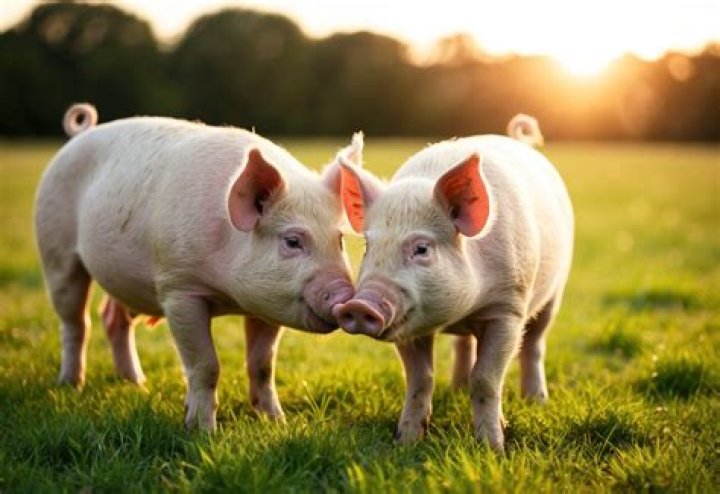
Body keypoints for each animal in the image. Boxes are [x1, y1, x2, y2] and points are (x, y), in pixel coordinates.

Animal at [35, 103, 359, 430]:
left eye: (340, 239)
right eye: (292, 241)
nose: (345, 294)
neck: (230, 296)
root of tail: (82, 134)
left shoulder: (266, 305)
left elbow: (262, 364)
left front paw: (276, 422)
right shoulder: (179, 289)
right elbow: (205, 364)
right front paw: (202, 430)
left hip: (120, 275)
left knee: (113, 318)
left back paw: (137, 384)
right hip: (56, 249)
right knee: (76, 322)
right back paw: (70, 385)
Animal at [333, 114, 573, 451]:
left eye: (422, 248)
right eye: (369, 245)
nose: (358, 304)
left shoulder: (508, 309)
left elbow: (485, 378)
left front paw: (492, 448)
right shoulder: (408, 324)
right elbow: (420, 379)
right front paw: (406, 442)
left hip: (554, 293)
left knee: (535, 344)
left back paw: (536, 400)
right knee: (465, 343)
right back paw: (456, 387)